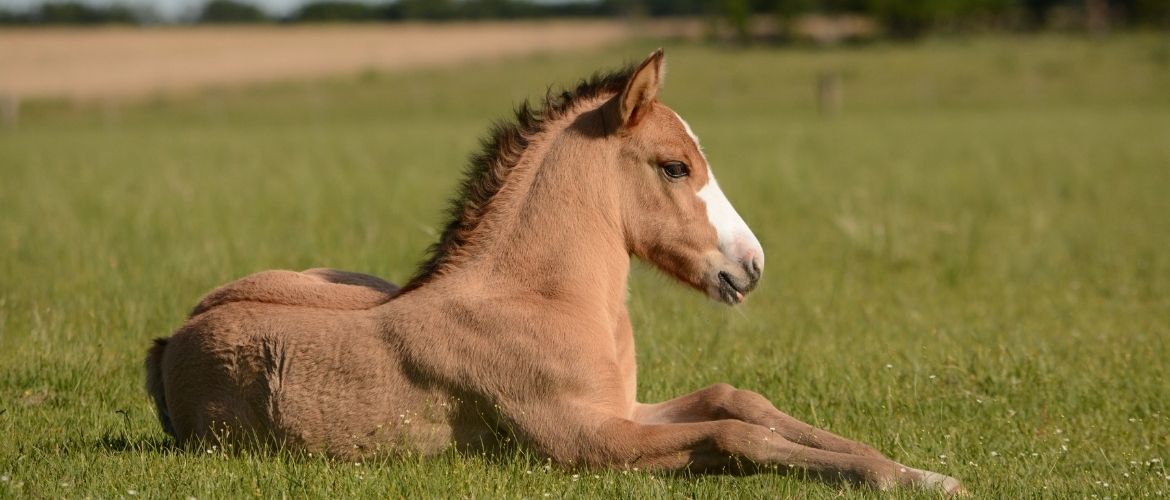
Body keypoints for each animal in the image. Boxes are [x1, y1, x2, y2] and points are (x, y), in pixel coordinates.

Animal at [146, 48, 964, 494]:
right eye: (674, 166)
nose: (751, 266)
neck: (541, 300)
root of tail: (169, 340)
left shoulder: (625, 409)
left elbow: (740, 401)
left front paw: (914, 470)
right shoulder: (586, 442)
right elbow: (737, 436)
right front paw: (903, 478)